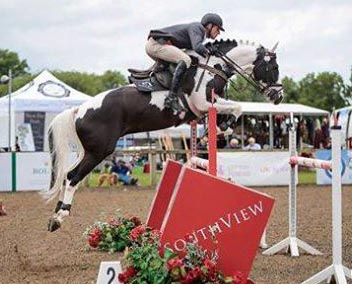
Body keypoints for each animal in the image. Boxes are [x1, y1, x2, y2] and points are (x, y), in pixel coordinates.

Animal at [42, 39, 282, 231]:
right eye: (273, 68)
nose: (278, 97)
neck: (212, 67)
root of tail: (78, 111)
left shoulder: (207, 108)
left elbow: (232, 112)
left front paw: (222, 129)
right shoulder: (204, 103)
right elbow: (238, 107)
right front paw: (225, 128)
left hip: (89, 151)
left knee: (67, 175)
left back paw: (55, 214)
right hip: (100, 151)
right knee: (72, 177)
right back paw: (60, 217)